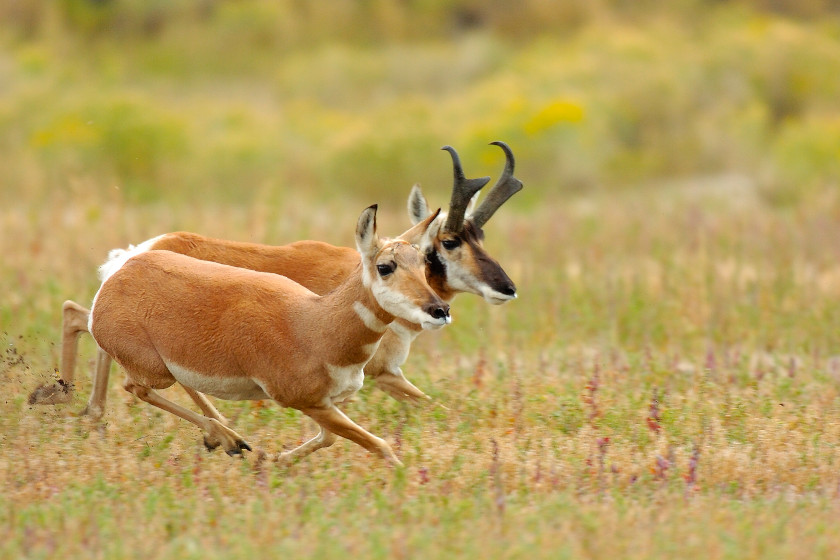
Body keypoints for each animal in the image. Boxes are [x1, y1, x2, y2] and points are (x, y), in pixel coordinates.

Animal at [29, 142, 520, 418]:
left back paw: (81, 408)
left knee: (80, 317)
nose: (507, 287)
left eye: (480, 234)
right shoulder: (383, 375)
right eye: (449, 240)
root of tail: (137, 253)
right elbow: (443, 410)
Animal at [87, 206, 446, 464]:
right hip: (156, 373)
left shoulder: (329, 403)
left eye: (424, 263)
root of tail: (122, 269)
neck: (313, 323)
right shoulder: (309, 402)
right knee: (135, 387)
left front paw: (274, 460)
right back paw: (228, 439)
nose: (440, 310)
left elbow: (329, 438)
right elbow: (380, 445)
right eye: (385, 266)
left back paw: (231, 441)